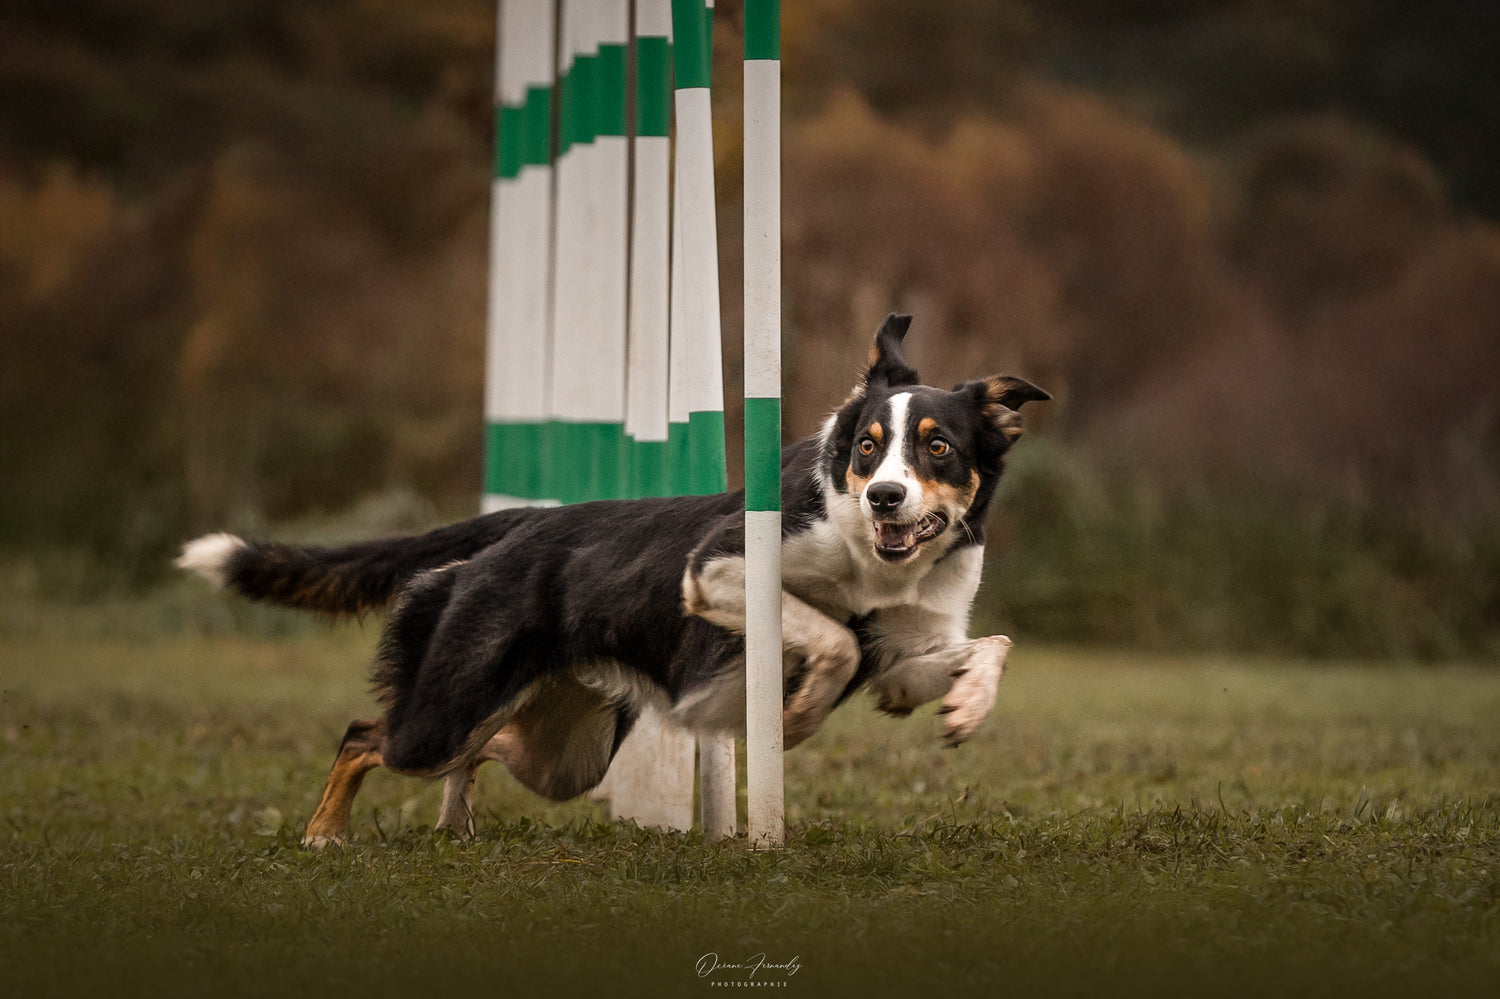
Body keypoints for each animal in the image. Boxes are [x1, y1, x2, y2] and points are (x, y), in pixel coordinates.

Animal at [177, 314, 1049, 847]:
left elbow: (988, 644)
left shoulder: (905, 651)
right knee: (368, 735)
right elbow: (831, 633)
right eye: (867, 448)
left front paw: (965, 705)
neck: (875, 566)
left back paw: (455, 826)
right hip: (449, 708)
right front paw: (798, 711)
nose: (884, 497)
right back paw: (325, 832)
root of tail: (520, 526)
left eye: (938, 449)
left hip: (564, 751)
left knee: (487, 746)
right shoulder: (717, 568)